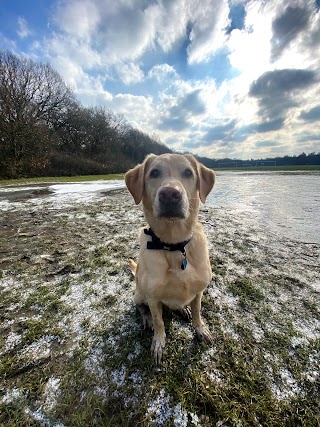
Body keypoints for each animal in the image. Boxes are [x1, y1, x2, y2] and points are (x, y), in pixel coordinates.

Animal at [125, 152, 215, 362]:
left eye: (188, 173)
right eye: (154, 173)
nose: (170, 194)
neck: (174, 245)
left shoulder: (199, 290)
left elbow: (198, 312)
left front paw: (200, 329)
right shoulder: (152, 297)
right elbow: (159, 322)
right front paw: (158, 343)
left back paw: (182, 309)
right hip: (139, 293)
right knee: (141, 307)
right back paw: (147, 318)